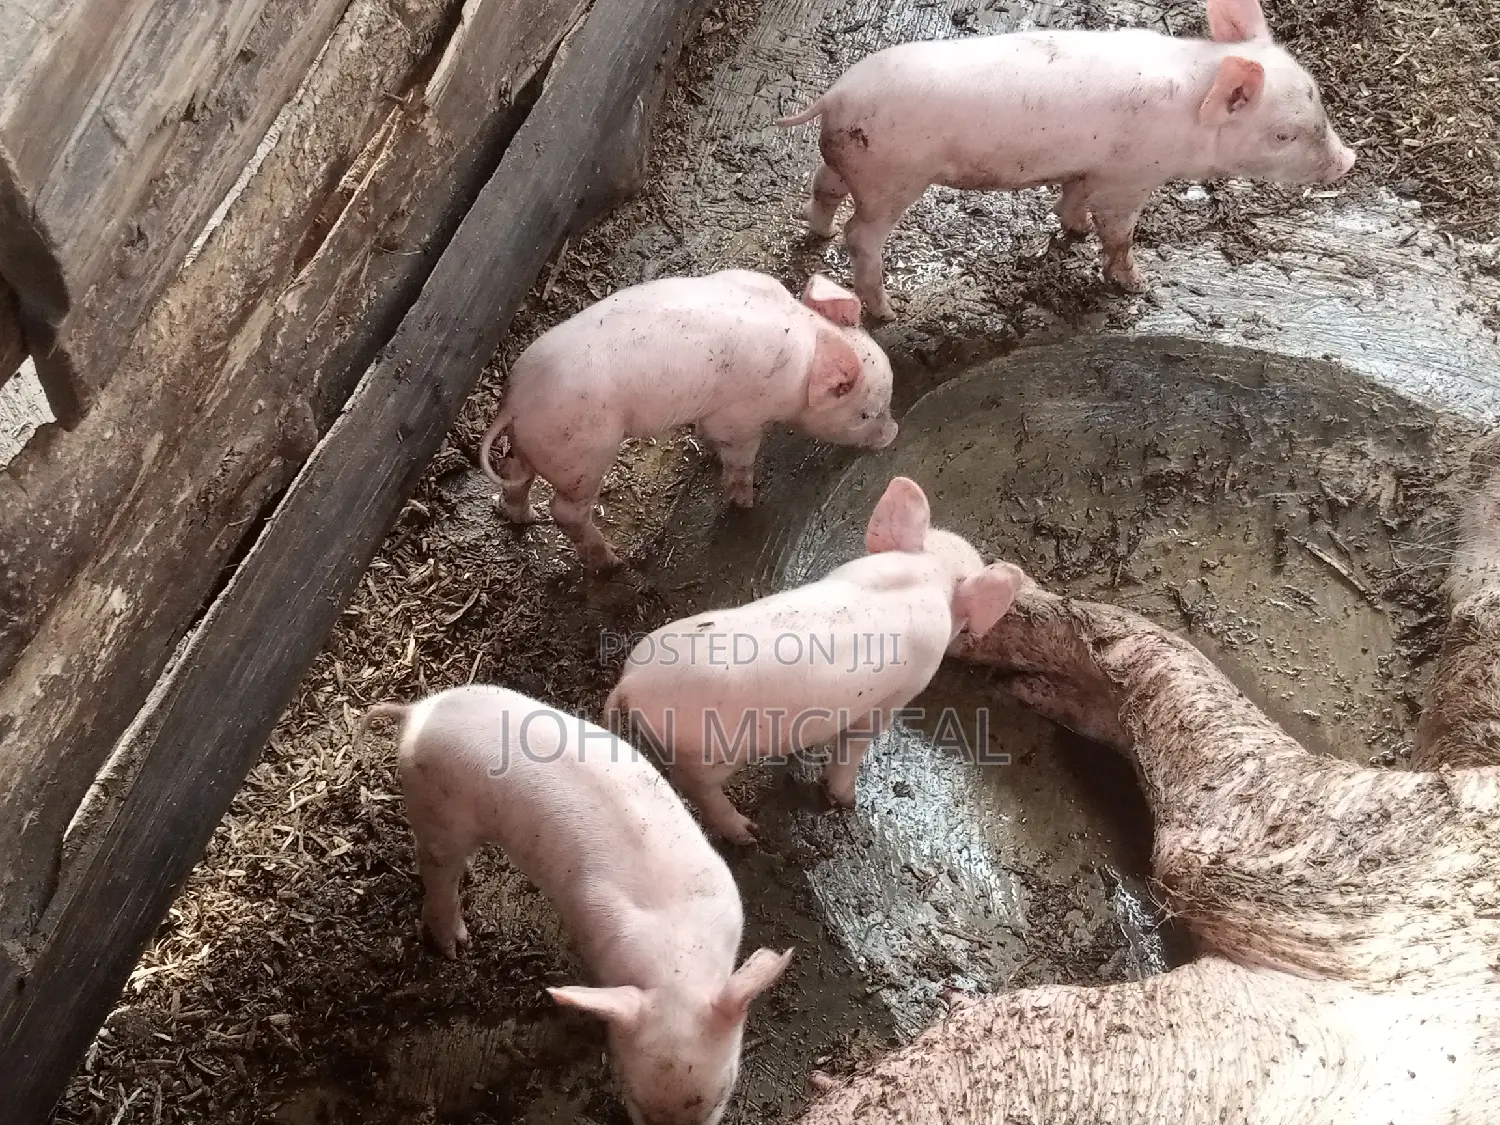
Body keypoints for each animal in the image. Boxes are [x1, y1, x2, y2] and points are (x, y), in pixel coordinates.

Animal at [354, 685, 794, 1125]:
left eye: (721, 1097)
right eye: (635, 1103)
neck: (677, 962)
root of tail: (415, 711)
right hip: (437, 812)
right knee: (435, 871)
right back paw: (455, 945)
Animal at [478, 270, 899, 570]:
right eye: (865, 413)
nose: (893, 433)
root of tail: (515, 401)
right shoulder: (741, 417)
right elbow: (740, 459)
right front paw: (746, 501)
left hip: (536, 446)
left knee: (516, 474)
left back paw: (522, 517)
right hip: (581, 454)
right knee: (566, 511)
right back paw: (613, 564)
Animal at [603, 476, 1024, 844]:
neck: (924, 576)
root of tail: (630, 684)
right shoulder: (898, 693)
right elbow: (855, 743)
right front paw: (846, 802)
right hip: (703, 755)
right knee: (698, 791)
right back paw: (750, 835)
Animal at [776, 0, 1357, 319]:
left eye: (1320, 105)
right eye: (1283, 135)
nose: (1348, 161)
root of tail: (833, 97)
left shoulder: (1092, 166)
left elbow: (1074, 197)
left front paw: (1073, 229)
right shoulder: (1131, 176)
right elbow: (1118, 230)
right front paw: (1135, 284)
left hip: (849, 159)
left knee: (823, 188)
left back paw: (820, 234)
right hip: (892, 176)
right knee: (861, 235)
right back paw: (887, 312)